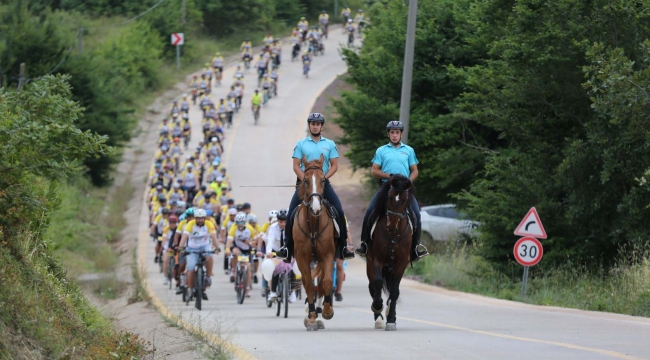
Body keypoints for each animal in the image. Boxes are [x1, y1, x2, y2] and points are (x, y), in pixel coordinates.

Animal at [364, 174, 410, 332]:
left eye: (404, 200)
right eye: (389, 197)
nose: (392, 226)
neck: (393, 235)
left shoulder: (401, 264)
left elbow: (395, 291)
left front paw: (391, 320)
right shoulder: (377, 260)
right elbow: (377, 283)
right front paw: (377, 306)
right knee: (372, 286)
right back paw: (378, 318)